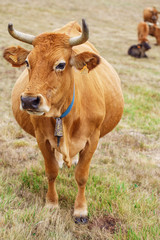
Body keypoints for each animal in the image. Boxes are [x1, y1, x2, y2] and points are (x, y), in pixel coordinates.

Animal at [2, 19, 124, 224]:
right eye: (27, 62)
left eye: (60, 64)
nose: (29, 100)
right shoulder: (41, 138)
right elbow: (51, 171)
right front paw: (52, 203)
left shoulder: (92, 140)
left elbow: (82, 176)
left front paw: (81, 210)